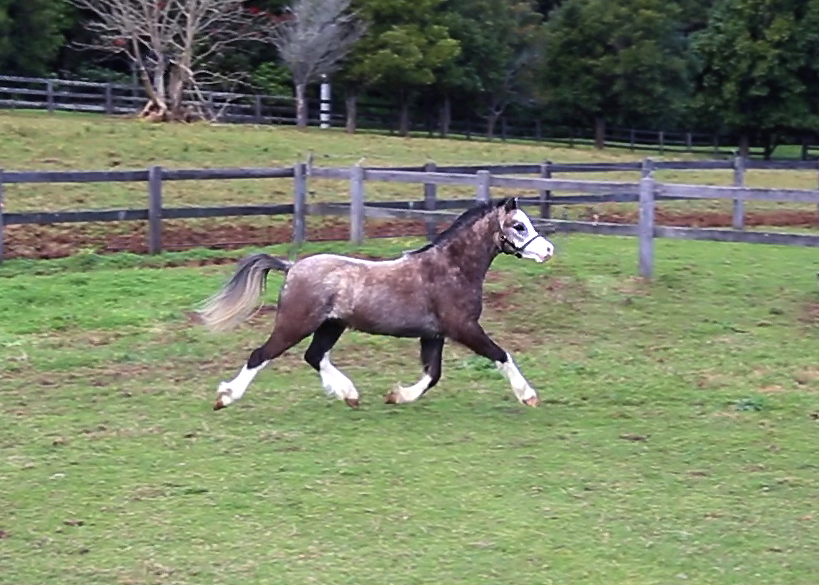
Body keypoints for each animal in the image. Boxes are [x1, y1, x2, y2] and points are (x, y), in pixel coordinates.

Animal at [198, 197, 554, 411]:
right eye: (518, 226)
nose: (549, 250)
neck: (450, 268)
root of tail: (293, 266)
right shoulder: (463, 328)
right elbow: (501, 355)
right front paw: (529, 395)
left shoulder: (434, 335)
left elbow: (432, 374)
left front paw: (398, 395)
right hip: (294, 325)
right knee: (260, 355)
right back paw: (225, 397)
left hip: (331, 326)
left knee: (314, 356)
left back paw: (349, 394)